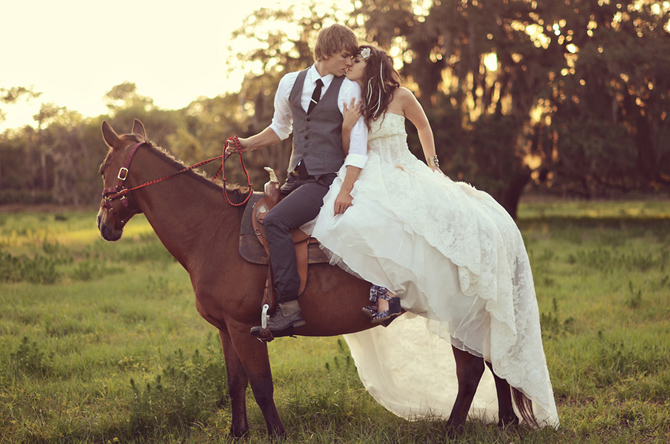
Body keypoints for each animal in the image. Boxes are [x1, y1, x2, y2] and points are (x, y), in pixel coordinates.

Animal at [96, 119, 536, 438]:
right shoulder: (225, 329)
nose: (103, 225)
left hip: (458, 316)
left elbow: (261, 385)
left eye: (104, 168)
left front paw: (277, 434)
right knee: (495, 365)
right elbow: (236, 383)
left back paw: (452, 429)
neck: (213, 230)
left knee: (471, 372)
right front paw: (238, 433)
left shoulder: (244, 328)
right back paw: (506, 423)